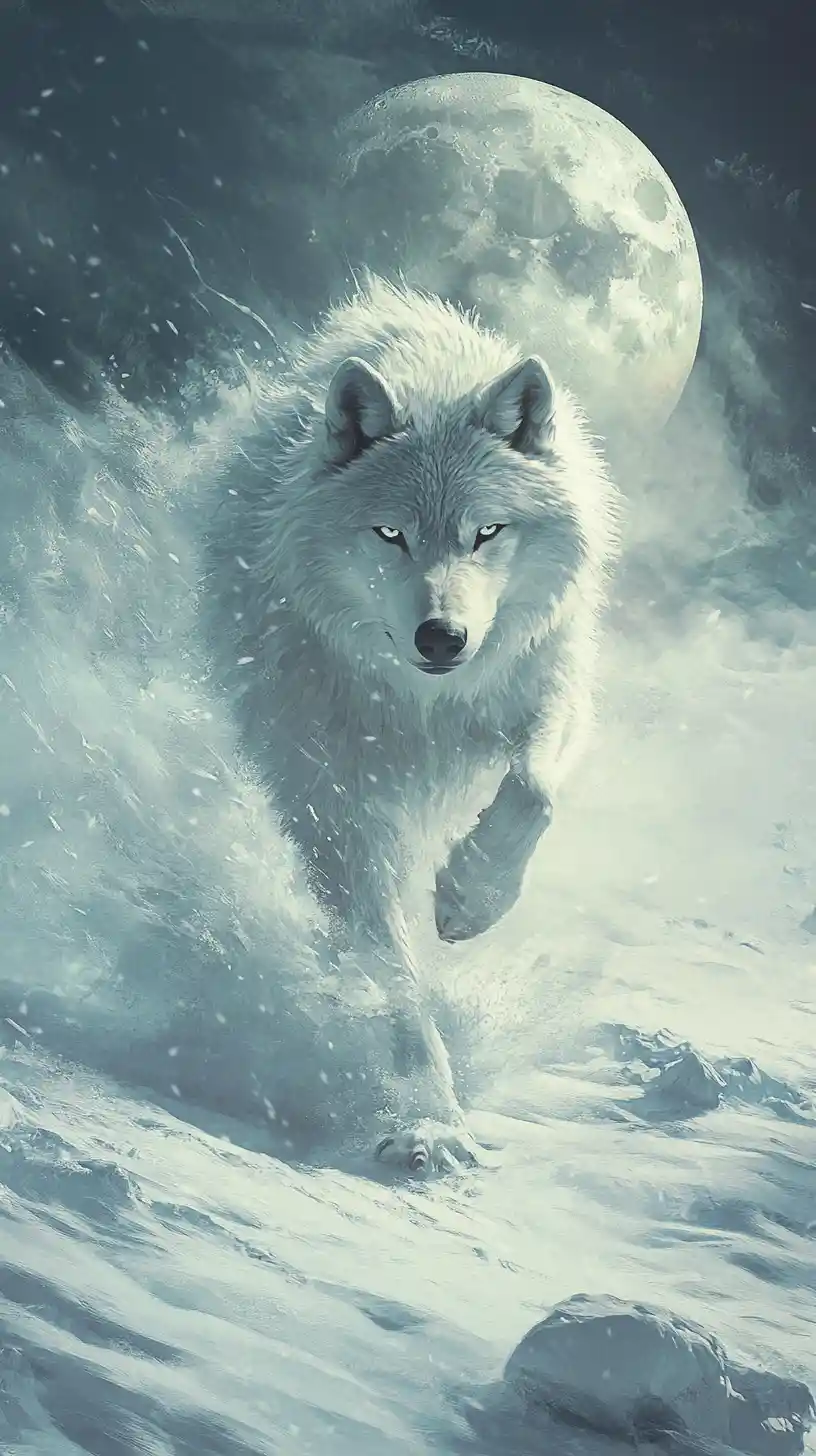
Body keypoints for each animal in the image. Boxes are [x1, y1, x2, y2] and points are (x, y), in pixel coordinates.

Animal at [207, 275, 620, 1173]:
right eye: (390, 533)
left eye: (487, 531)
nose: (443, 637)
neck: (423, 703)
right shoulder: (338, 804)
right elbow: (395, 973)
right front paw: (430, 1122)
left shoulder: (549, 689)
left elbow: (533, 792)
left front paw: (469, 898)